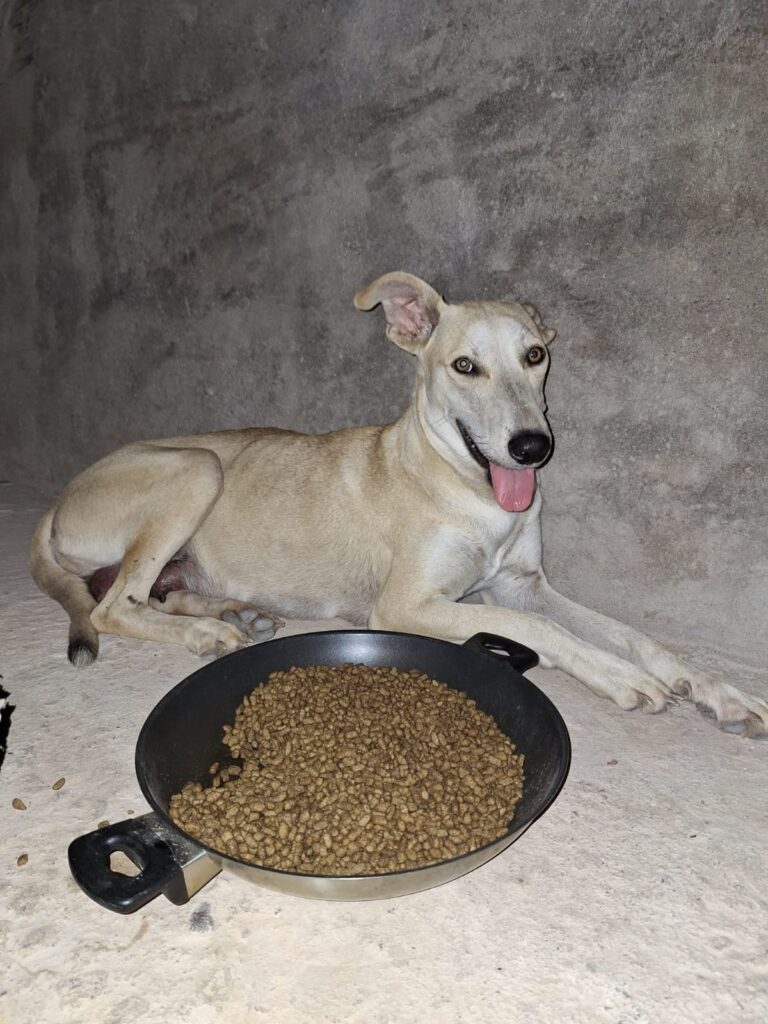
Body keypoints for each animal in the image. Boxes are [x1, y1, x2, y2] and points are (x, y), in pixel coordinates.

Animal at [30, 272, 768, 737]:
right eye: (465, 366)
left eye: (534, 356)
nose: (532, 447)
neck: (469, 488)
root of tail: (58, 500)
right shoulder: (408, 606)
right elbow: (539, 630)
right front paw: (616, 676)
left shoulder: (523, 583)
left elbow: (632, 633)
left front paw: (714, 689)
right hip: (196, 467)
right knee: (111, 605)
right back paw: (206, 632)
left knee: (151, 591)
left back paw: (232, 612)